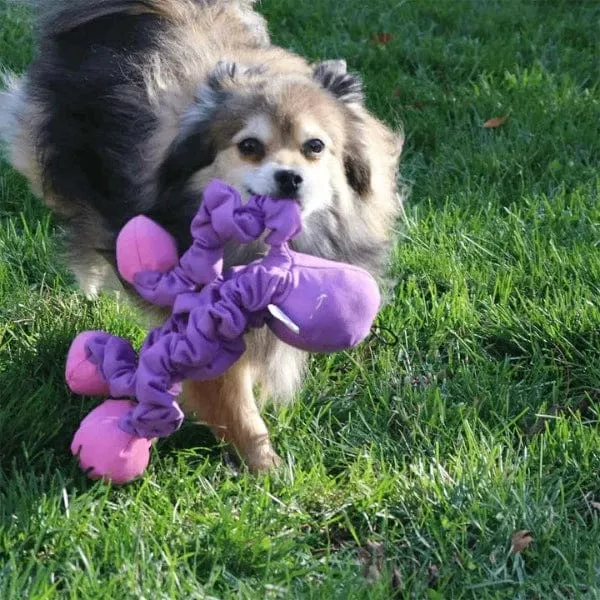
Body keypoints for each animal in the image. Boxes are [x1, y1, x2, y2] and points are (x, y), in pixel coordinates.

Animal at [1, 0, 404, 472]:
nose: (289, 178)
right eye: (249, 146)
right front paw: (266, 467)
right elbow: (233, 401)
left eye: (315, 147)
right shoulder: (207, 326)